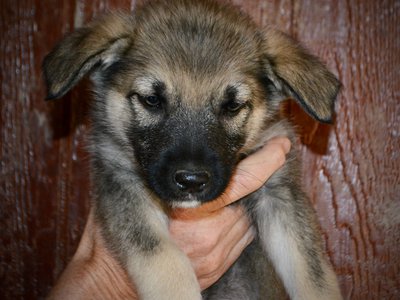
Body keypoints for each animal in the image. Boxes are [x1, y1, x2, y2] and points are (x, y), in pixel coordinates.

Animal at [44, 0, 344, 298]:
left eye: (233, 106)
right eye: (152, 100)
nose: (191, 181)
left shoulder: (280, 193)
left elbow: (313, 273)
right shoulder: (121, 184)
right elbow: (163, 259)